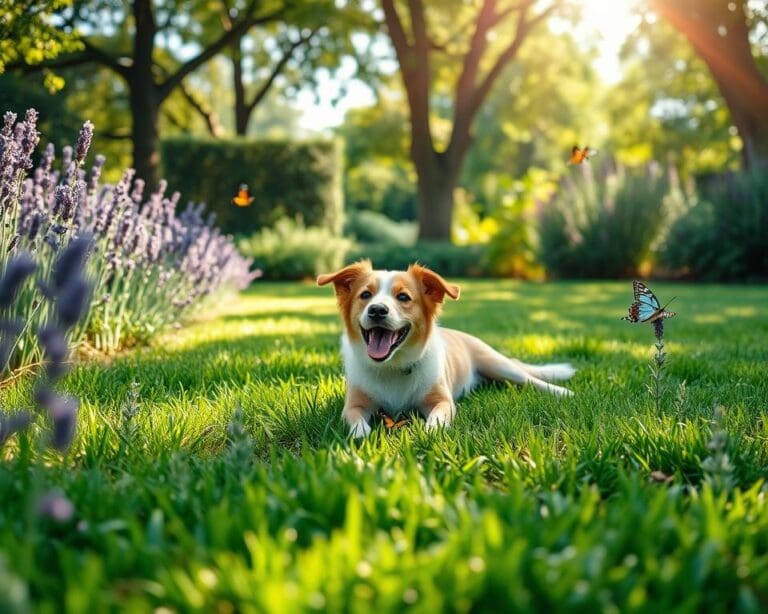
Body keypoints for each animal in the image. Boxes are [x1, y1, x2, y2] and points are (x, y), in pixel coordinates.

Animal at [318, 262, 576, 440]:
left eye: (403, 297)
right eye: (365, 295)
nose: (377, 310)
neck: (393, 366)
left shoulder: (442, 401)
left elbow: (437, 417)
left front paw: (429, 433)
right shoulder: (354, 405)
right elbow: (354, 420)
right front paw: (362, 435)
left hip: (498, 364)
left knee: (530, 379)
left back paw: (562, 392)